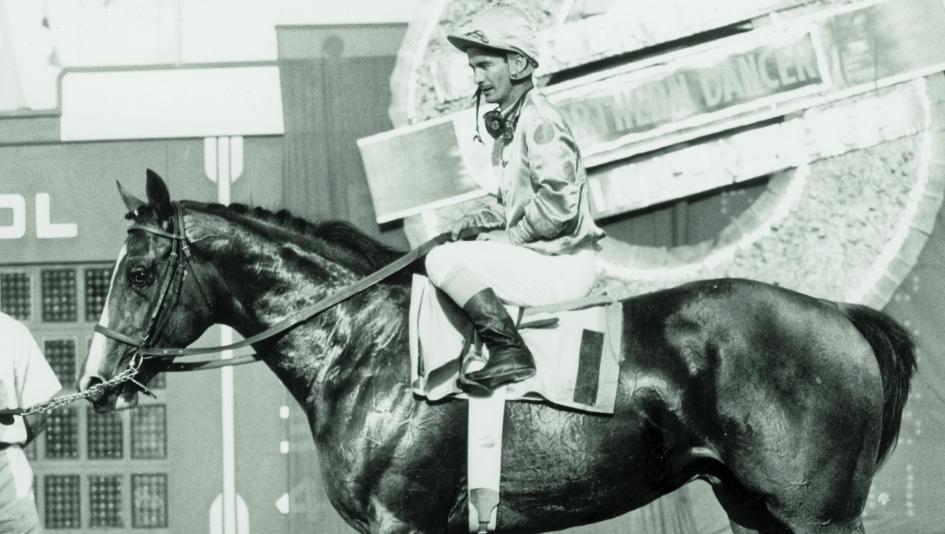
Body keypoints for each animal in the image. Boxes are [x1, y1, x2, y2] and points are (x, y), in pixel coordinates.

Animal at [78, 170, 915, 534]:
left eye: (140, 272)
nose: (94, 383)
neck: (362, 344)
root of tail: (836, 313)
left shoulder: (402, 524)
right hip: (751, 508)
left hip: (813, 516)